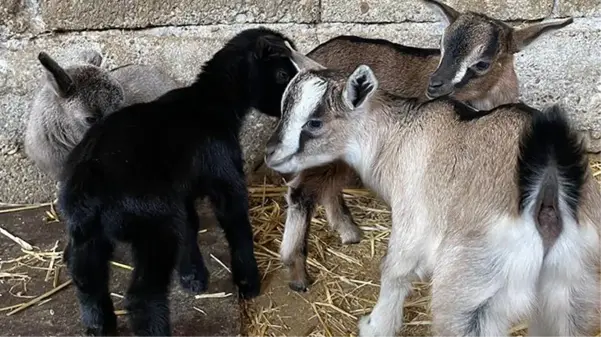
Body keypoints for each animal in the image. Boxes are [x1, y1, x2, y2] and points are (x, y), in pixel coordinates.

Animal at [58, 28, 298, 336]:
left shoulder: (179, 193)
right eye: (282, 73)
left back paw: (100, 327)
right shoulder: (225, 176)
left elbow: (190, 225)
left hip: (88, 231)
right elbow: (236, 225)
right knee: (142, 297)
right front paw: (248, 283)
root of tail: (91, 176)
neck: (210, 103)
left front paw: (193, 276)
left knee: (87, 280)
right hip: (152, 227)